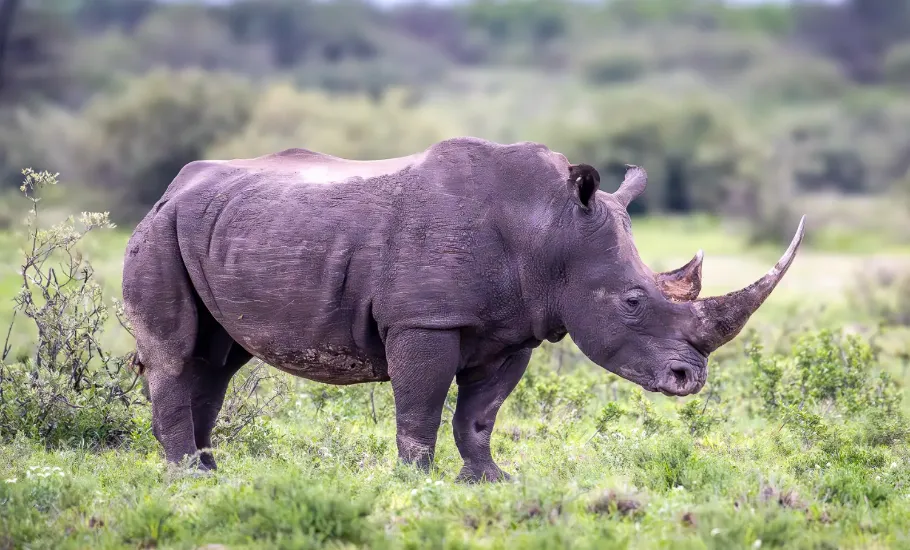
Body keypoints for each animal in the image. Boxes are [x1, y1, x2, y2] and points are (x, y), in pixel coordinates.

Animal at [122, 137, 804, 481]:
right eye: (634, 302)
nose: (690, 379)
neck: (549, 229)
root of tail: (170, 189)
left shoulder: (516, 330)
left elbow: (480, 415)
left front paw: (490, 480)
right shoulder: (425, 318)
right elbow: (422, 403)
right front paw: (415, 482)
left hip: (217, 227)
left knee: (216, 359)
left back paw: (210, 471)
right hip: (159, 230)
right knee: (176, 353)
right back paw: (186, 477)